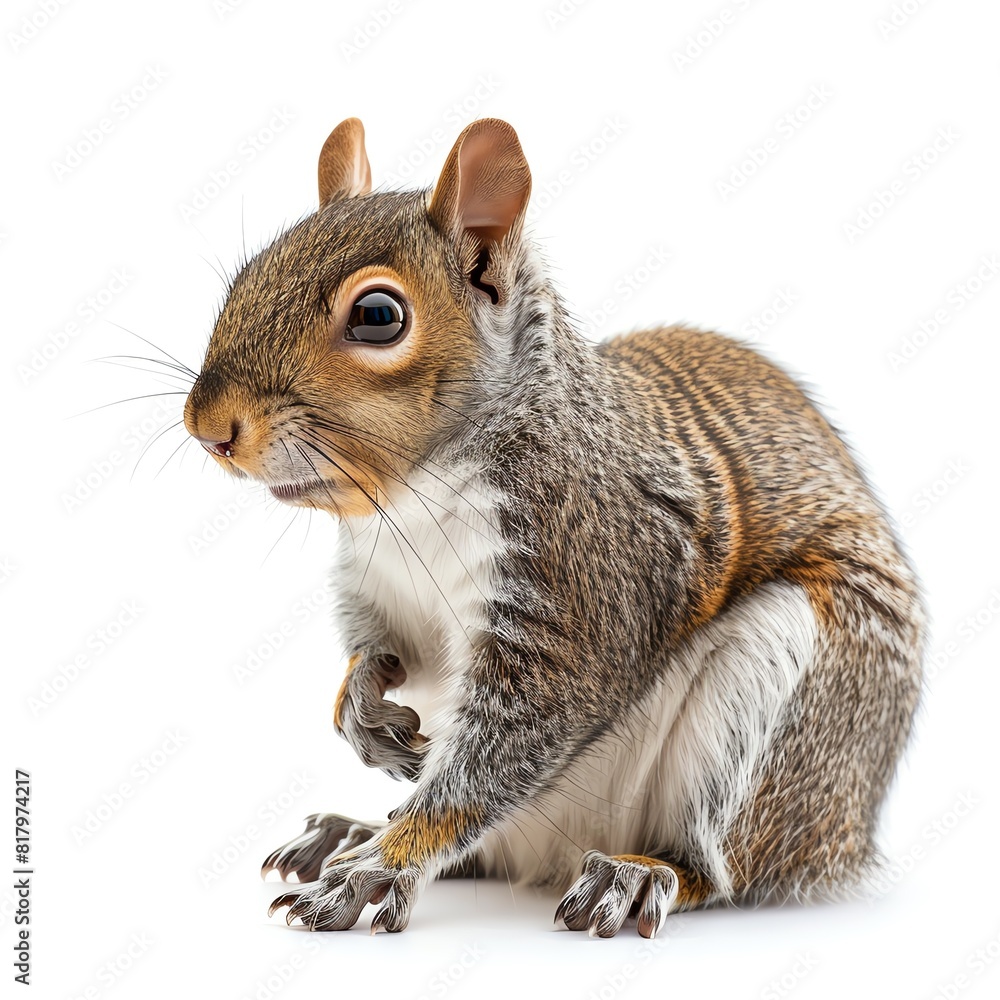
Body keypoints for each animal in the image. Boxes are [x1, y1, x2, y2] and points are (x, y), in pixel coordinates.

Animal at [182, 117, 924, 937]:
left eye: (378, 316)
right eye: (247, 274)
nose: (208, 427)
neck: (412, 500)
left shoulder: (580, 580)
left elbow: (497, 758)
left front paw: (382, 868)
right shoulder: (379, 583)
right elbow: (386, 649)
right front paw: (363, 711)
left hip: (789, 705)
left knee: (718, 863)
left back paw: (634, 874)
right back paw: (351, 828)